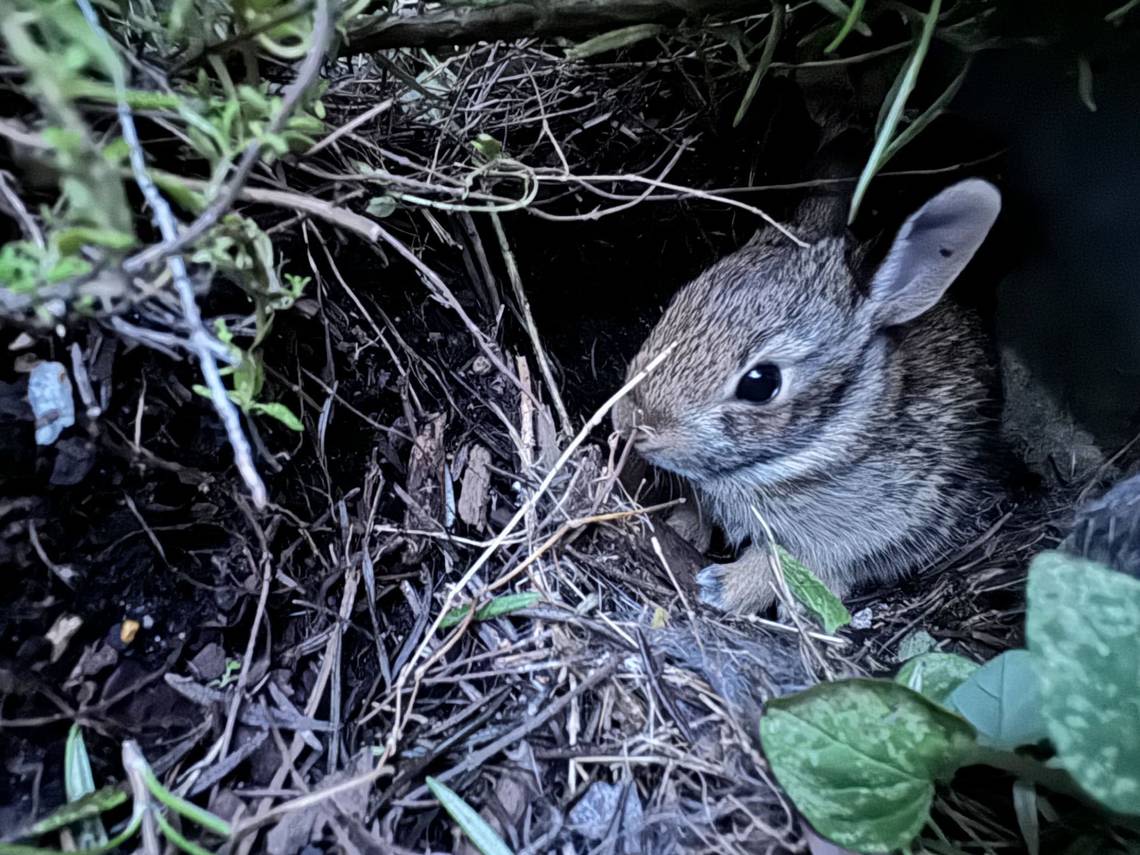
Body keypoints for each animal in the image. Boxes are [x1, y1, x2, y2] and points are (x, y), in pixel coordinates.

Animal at [620, 181, 1003, 611]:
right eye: (677, 302)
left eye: (760, 383)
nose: (628, 421)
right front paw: (680, 528)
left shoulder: (865, 532)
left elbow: (783, 564)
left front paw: (723, 588)